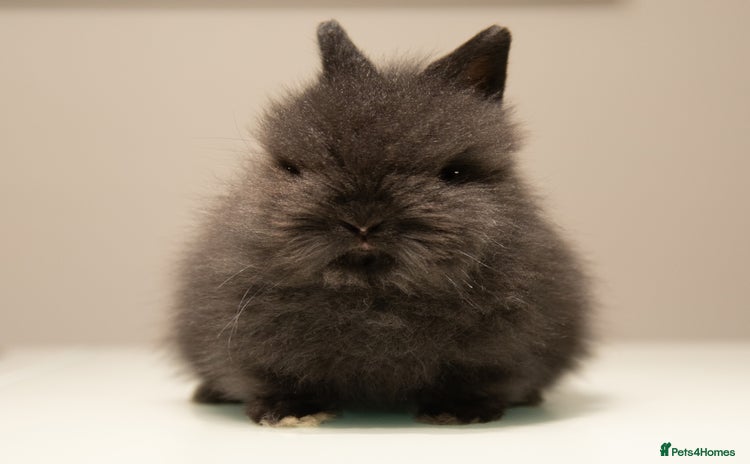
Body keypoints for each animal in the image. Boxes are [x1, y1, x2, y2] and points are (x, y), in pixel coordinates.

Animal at [172, 20, 591, 426]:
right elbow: (273, 374)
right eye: (292, 167)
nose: (362, 222)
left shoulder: (502, 353)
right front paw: (290, 412)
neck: (373, 299)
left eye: (454, 173)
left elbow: (477, 377)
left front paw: (459, 412)